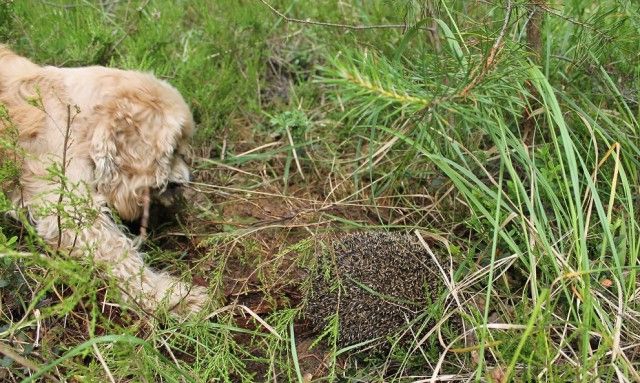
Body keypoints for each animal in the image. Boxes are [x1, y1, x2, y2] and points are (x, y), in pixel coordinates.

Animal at [0, 45, 208, 316]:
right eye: (172, 150)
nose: (184, 182)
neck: (76, 116)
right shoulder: (70, 209)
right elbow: (119, 254)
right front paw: (172, 298)